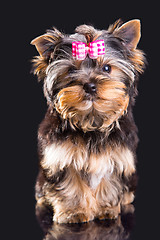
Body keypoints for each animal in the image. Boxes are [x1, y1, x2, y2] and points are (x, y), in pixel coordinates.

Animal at [31, 19, 145, 224]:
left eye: (106, 68)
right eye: (71, 70)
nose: (90, 85)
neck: (91, 121)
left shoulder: (116, 157)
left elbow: (109, 181)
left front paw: (105, 209)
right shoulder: (61, 156)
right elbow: (70, 184)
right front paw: (73, 211)